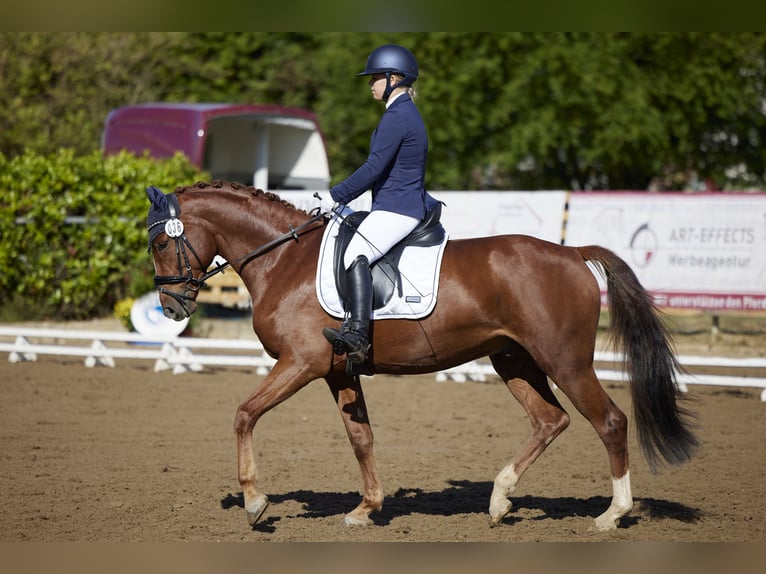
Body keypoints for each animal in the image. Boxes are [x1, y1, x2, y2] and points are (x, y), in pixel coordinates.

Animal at [146, 180, 698, 532]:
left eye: (158, 243)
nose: (170, 308)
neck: (283, 258)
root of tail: (571, 252)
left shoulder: (299, 363)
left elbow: (244, 414)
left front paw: (255, 502)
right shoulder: (336, 371)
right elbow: (361, 437)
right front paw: (366, 509)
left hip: (565, 362)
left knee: (609, 421)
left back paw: (612, 515)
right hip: (514, 360)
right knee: (549, 420)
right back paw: (499, 500)